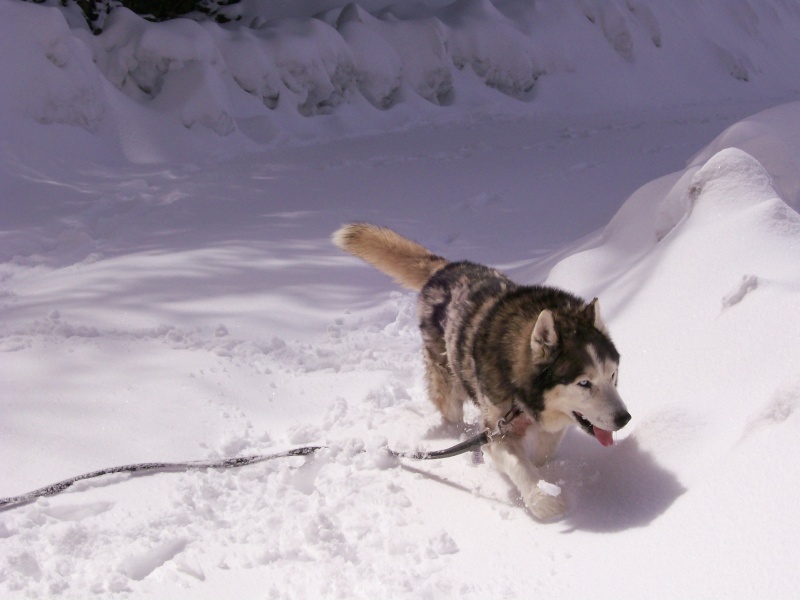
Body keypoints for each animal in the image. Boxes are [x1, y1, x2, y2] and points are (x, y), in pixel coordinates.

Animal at [332, 223, 632, 516]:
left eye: (612, 375)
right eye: (584, 383)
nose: (624, 418)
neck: (521, 392)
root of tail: (446, 268)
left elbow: (545, 451)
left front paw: (545, 473)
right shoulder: (496, 430)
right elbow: (518, 465)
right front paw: (543, 499)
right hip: (448, 385)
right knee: (451, 413)